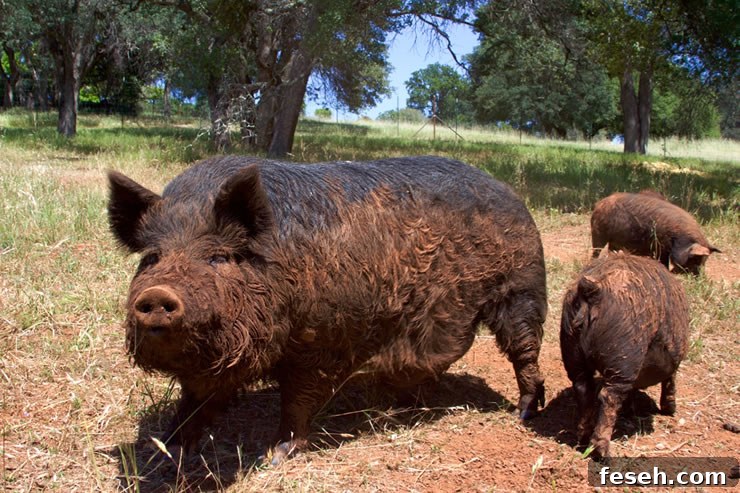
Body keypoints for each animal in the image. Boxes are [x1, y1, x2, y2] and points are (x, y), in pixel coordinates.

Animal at [107, 155, 547, 464]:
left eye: (218, 257)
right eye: (152, 257)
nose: (157, 296)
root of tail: (511, 194)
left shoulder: (321, 342)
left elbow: (297, 400)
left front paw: (275, 457)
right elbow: (195, 400)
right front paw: (169, 446)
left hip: (521, 288)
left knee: (525, 351)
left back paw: (523, 413)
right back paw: (404, 403)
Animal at [560, 251, 689, 459]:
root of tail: (593, 290)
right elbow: (670, 382)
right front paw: (670, 410)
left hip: (571, 347)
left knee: (583, 387)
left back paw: (583, 438)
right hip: (623, 357)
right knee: (609, 396)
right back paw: (602, 452)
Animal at [590, 191, 720, 275]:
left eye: (704, 261)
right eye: (695, 259)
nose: (698, 277)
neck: (679, 239)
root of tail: (600, 203)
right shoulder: (660, 248)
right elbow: (663, 263)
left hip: (614, 242)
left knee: (611, 251)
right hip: (598, 234)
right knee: (596, 251)